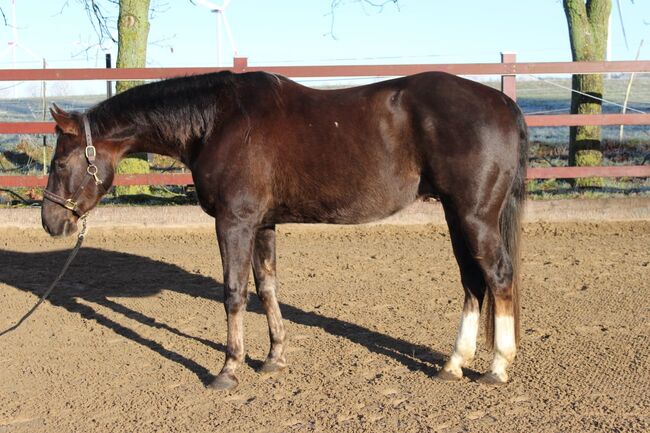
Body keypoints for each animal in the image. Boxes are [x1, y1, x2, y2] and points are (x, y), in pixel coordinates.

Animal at [40, 70, 528, 388]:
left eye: (60, 163)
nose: (51, 221)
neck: (218, 121)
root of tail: (503, 103)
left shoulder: (234, 222)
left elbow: (234, 293)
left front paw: (228, 369)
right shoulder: (263, 223)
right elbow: (266, 288)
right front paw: (273, 358)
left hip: (474, 215)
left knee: (498, 276)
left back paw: (498, 367)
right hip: (456, 214)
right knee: (472, 281)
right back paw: (453, 364)